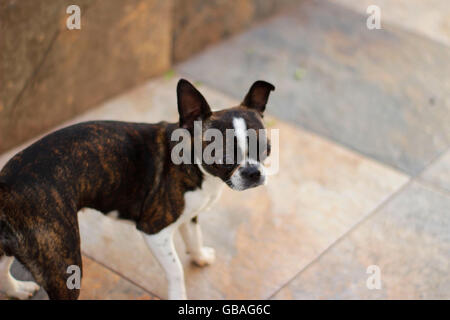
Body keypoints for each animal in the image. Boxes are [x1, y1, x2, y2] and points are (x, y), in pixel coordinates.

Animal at [0, 79, 274, 298]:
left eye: (266, 147)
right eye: (224, 155)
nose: (253, 172)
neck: (195, 165)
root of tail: (6, 185)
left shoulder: (190, 213)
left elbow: (194, 235)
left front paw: (199, 257)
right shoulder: (154, 231)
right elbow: (176, 269)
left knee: (2, 266)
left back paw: (16, 289)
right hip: (63, 262)